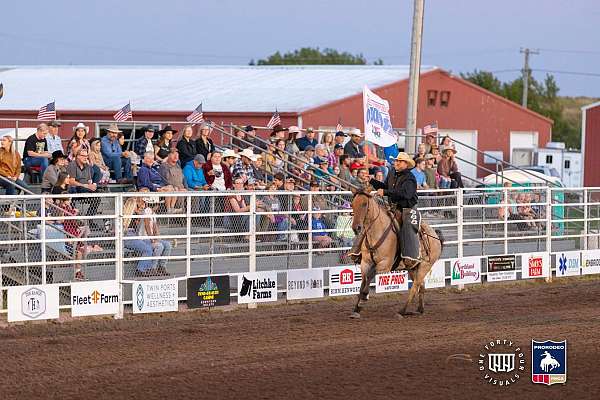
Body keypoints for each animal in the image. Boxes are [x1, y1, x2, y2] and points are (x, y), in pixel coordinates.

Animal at [350, 188, 442, 318]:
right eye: (352, 204)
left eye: (364, 204)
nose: (356, 228)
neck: (377, 231)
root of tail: (435, 236)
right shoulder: (365, 263)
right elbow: (364, 281)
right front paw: (356, 308)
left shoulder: (385, 265)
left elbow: (370, 276)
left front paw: (364, 297)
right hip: (413, 268)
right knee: (421, 286)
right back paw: (420, 309)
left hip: (425, 266)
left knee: (414, 288)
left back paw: (402, 311)